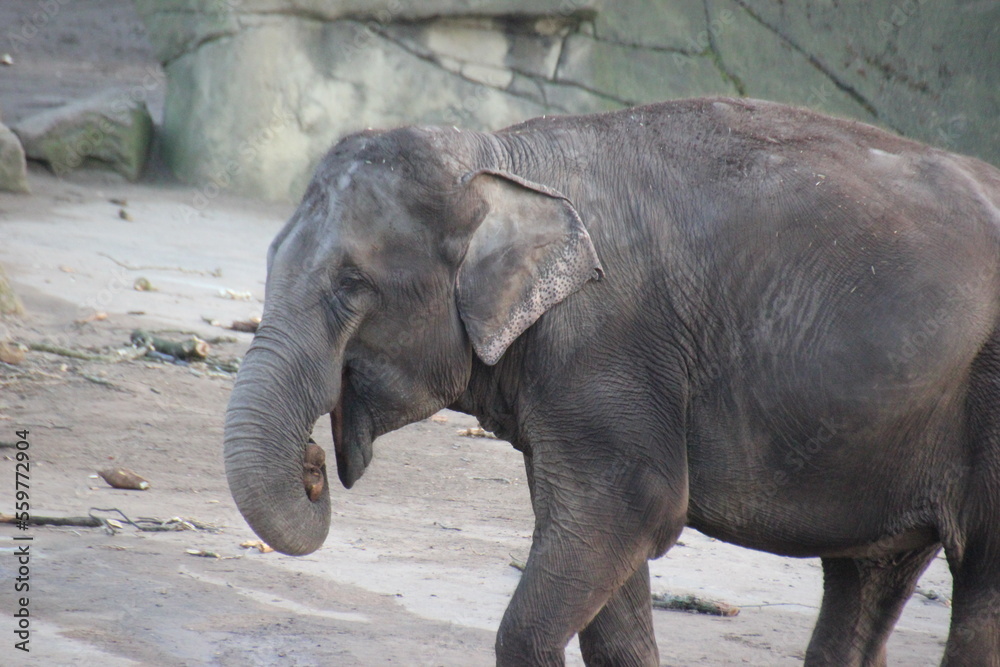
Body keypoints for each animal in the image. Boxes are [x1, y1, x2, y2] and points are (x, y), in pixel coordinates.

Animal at [224, 97, 1000, 666]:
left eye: (351, 287)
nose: (312, 462)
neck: (499, 157)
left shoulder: (608, 345)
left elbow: (632, 508)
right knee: (863, 579)